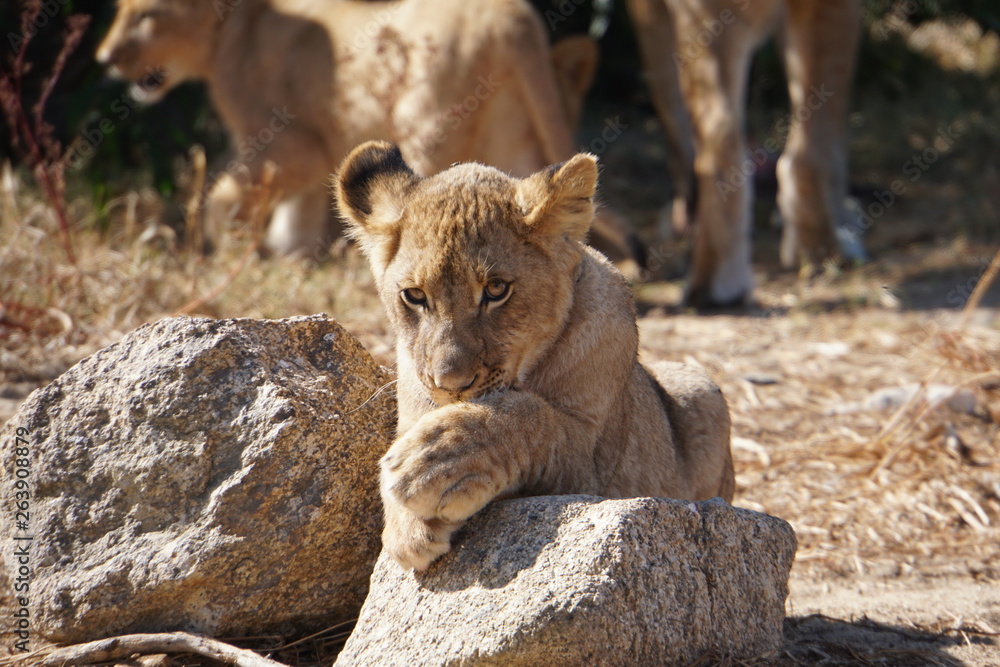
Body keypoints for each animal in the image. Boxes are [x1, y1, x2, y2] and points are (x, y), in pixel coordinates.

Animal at [95, 0, 639, 264]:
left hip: (427, 124)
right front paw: (293, 257)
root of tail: (513, 17)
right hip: (512, 134)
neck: (236, 23)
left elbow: (229, 196)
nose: (103, 58)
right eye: (120, 9)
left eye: (146, 15)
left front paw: (232, 251)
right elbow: (300, 212)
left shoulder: (292, 143)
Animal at [334, 140, 735, 571]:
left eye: (496, 289)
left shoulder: (599, 468)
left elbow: (533, 417)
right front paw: (405, 525)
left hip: (701, 387)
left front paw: (436, 459)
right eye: (414, 295)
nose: (450, 385)